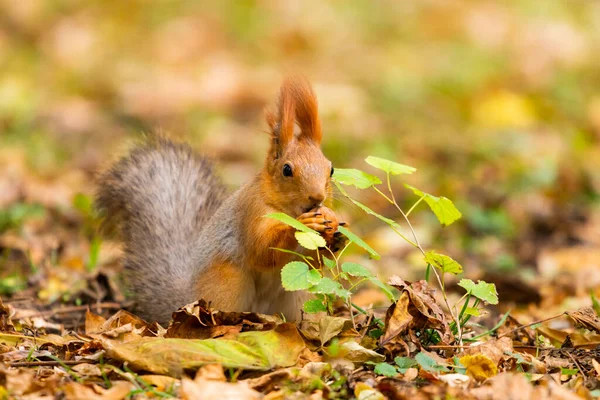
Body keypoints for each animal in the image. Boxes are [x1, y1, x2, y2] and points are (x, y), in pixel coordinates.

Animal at [96, 77, 344, 324]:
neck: (289, 210)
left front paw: (334, 229)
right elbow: (263, 250)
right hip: (228, 282)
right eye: (287, 170)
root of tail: (187, 300)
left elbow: (312, 260)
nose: (317, 197)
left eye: (331, 169)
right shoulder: (250, 212)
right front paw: (303, 225)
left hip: (301, 293)